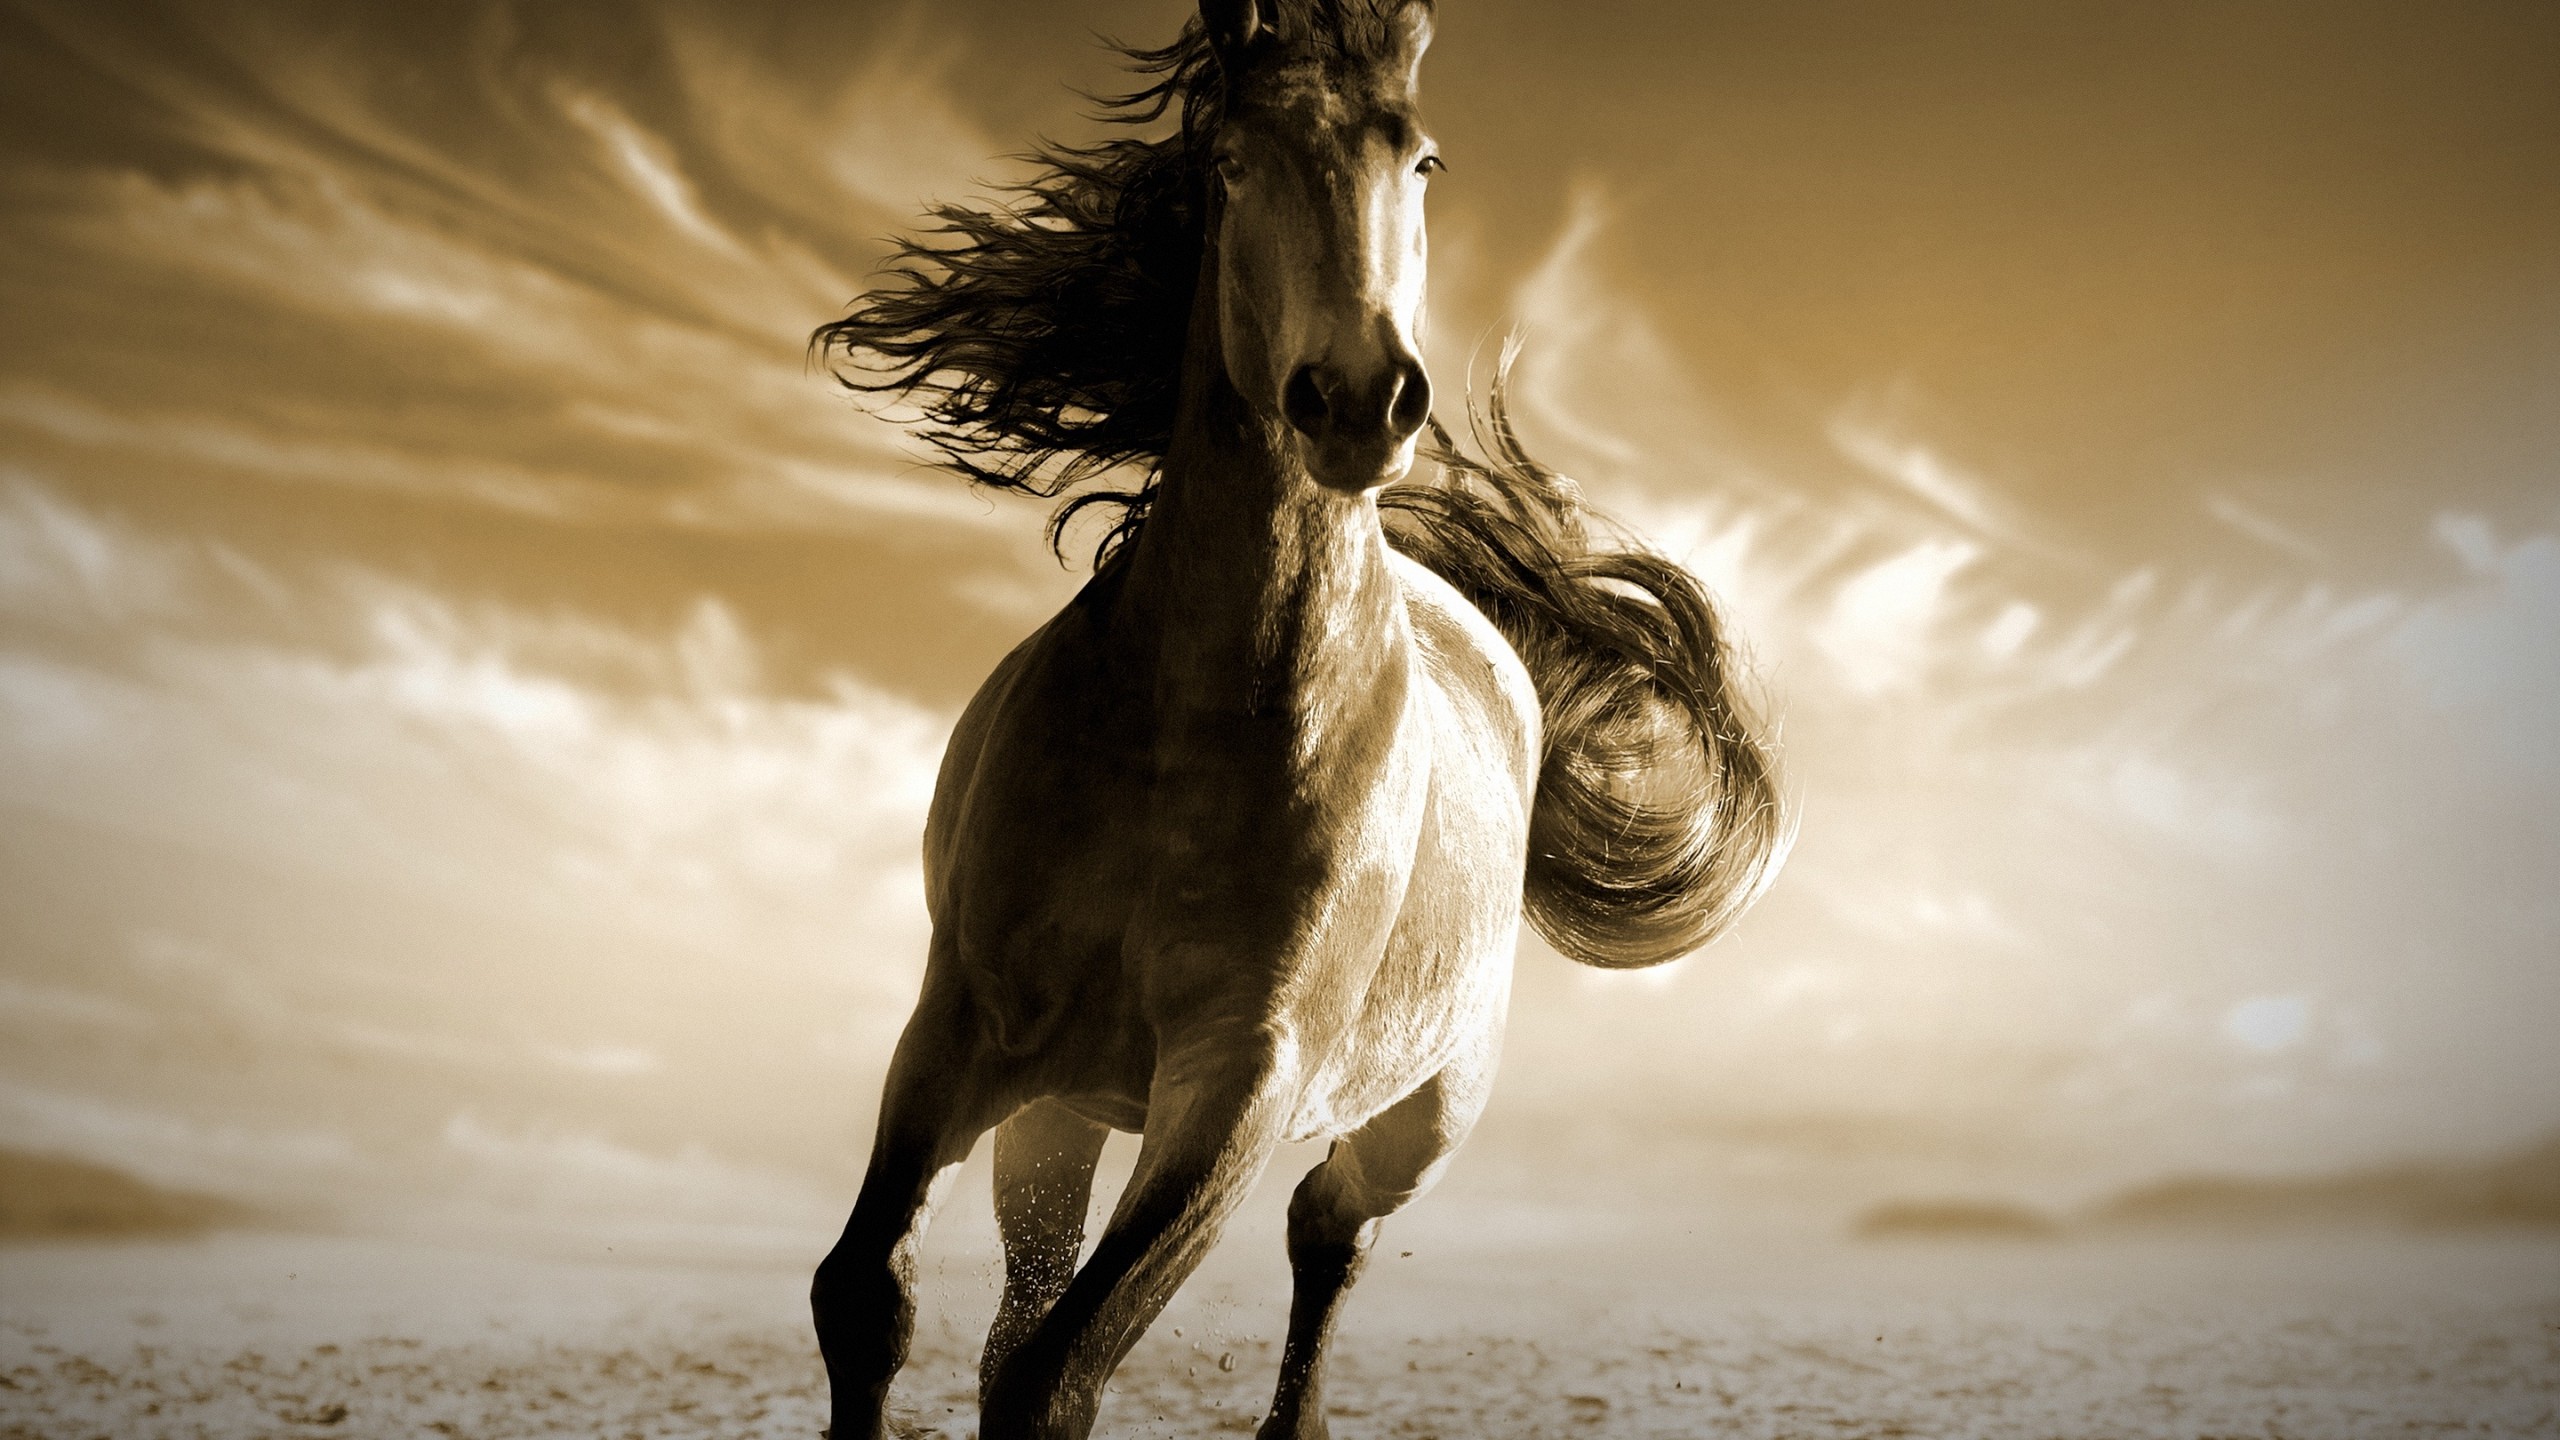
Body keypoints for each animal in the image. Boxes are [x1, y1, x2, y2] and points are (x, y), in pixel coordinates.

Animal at [806, 3, 1786, 1436]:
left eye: (1422, 159)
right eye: (1227, 161)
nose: (1360, 398)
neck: (1197, 725)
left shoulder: (1236, 1085)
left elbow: (1060, 1370)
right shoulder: (963, 1023)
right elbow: (871, 1302)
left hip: (1421, 1112)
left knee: (1327, 1235)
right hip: (1060, 1108)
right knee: (1028, 1293)